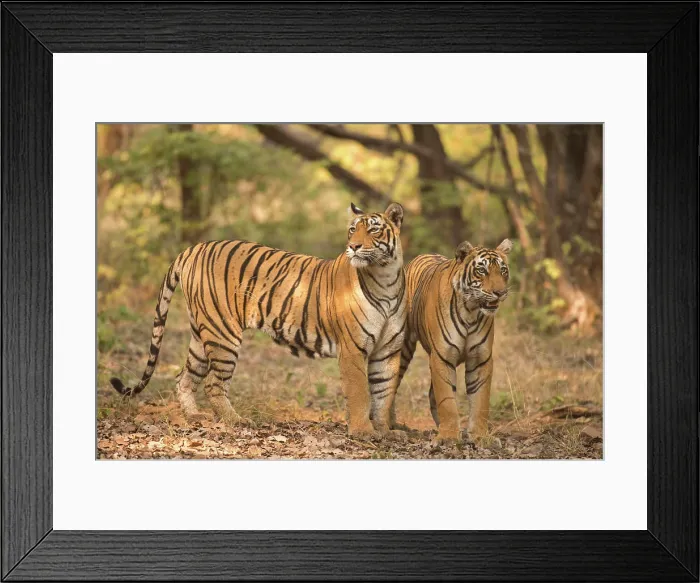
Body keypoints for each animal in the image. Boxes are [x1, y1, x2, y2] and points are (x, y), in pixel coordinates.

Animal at [109, 202, 407, 439]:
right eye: (352, 230)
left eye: (373, 230)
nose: (353, 247)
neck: (385, 279)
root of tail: (193, 249)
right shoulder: (352, 349)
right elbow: (360, 393)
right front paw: (363, 433)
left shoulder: (387, 351)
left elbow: (384, 393)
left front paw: (386, 432)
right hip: (223, 333)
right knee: (213, 383)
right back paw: (236, 421)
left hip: (201, 332)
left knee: (184, 377)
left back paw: (195, 417)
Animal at [396, 239, 512, 442]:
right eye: (482, 270)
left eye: (503, 270)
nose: (500, 292)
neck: (471, 311)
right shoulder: (441, 356)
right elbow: (446, 400)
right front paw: (449, 436)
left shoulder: (480, 359)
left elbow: (480, 399)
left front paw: (480, 436)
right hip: (404, 347)